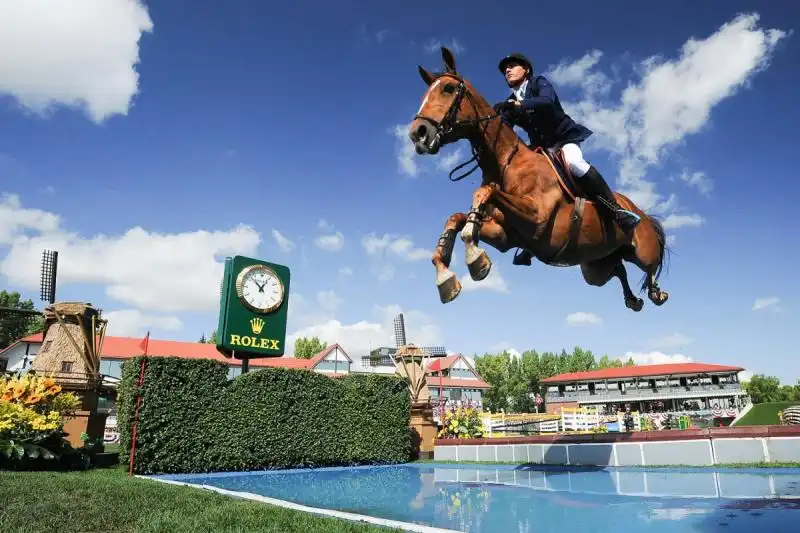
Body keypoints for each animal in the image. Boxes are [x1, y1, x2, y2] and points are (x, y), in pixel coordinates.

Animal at [406, 47, 668, 312]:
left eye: (448, 89)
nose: (418, 134)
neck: (506, 162)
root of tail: (640, 211)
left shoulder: (537, 218)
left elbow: (484, 193)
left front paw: (473, 257)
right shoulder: (504, 235)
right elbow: (458, 217)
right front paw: (446, 276)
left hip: (642, 250)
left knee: (650, 266)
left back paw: (656, 289)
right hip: (595, 267)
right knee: (618, 268)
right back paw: (632, 299)